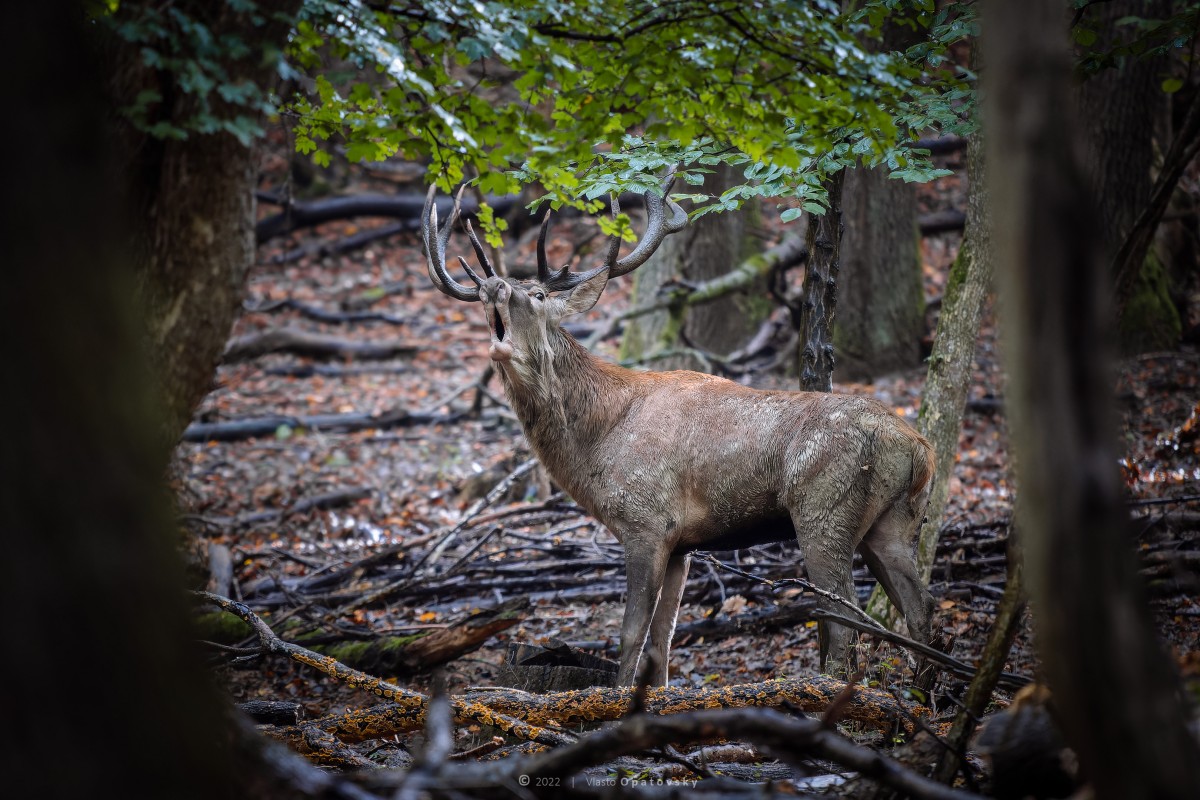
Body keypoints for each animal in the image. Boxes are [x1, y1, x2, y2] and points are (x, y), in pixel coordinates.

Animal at [420, 177, 936, 687]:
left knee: (845, 617)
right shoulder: (682, 544)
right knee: (920, 609)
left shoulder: (645, 522)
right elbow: (661, 642)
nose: (494, 285)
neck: (597, 444)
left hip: (823, 511)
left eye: (540, 296)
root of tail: (918, 448)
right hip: (894, 522)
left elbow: (631, 635)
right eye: (492, 293)